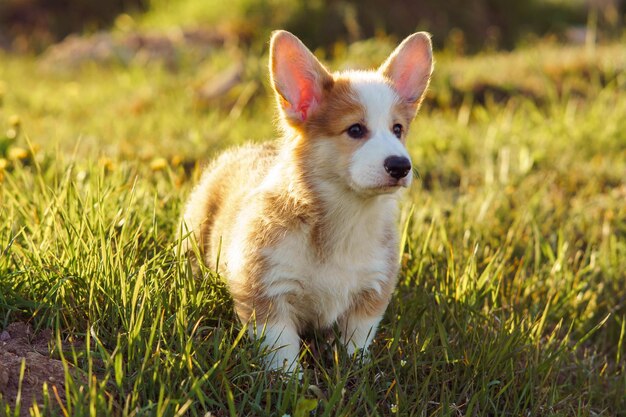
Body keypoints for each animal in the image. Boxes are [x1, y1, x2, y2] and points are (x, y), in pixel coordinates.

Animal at [179, 30, 428, 372]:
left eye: (398, 129)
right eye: (355, 129)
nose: (401, 166)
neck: (347, 215)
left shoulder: (370, 293)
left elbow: (357, 342)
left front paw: (355, 370)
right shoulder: (267, 291)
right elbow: (282, 349)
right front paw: (290, 381)